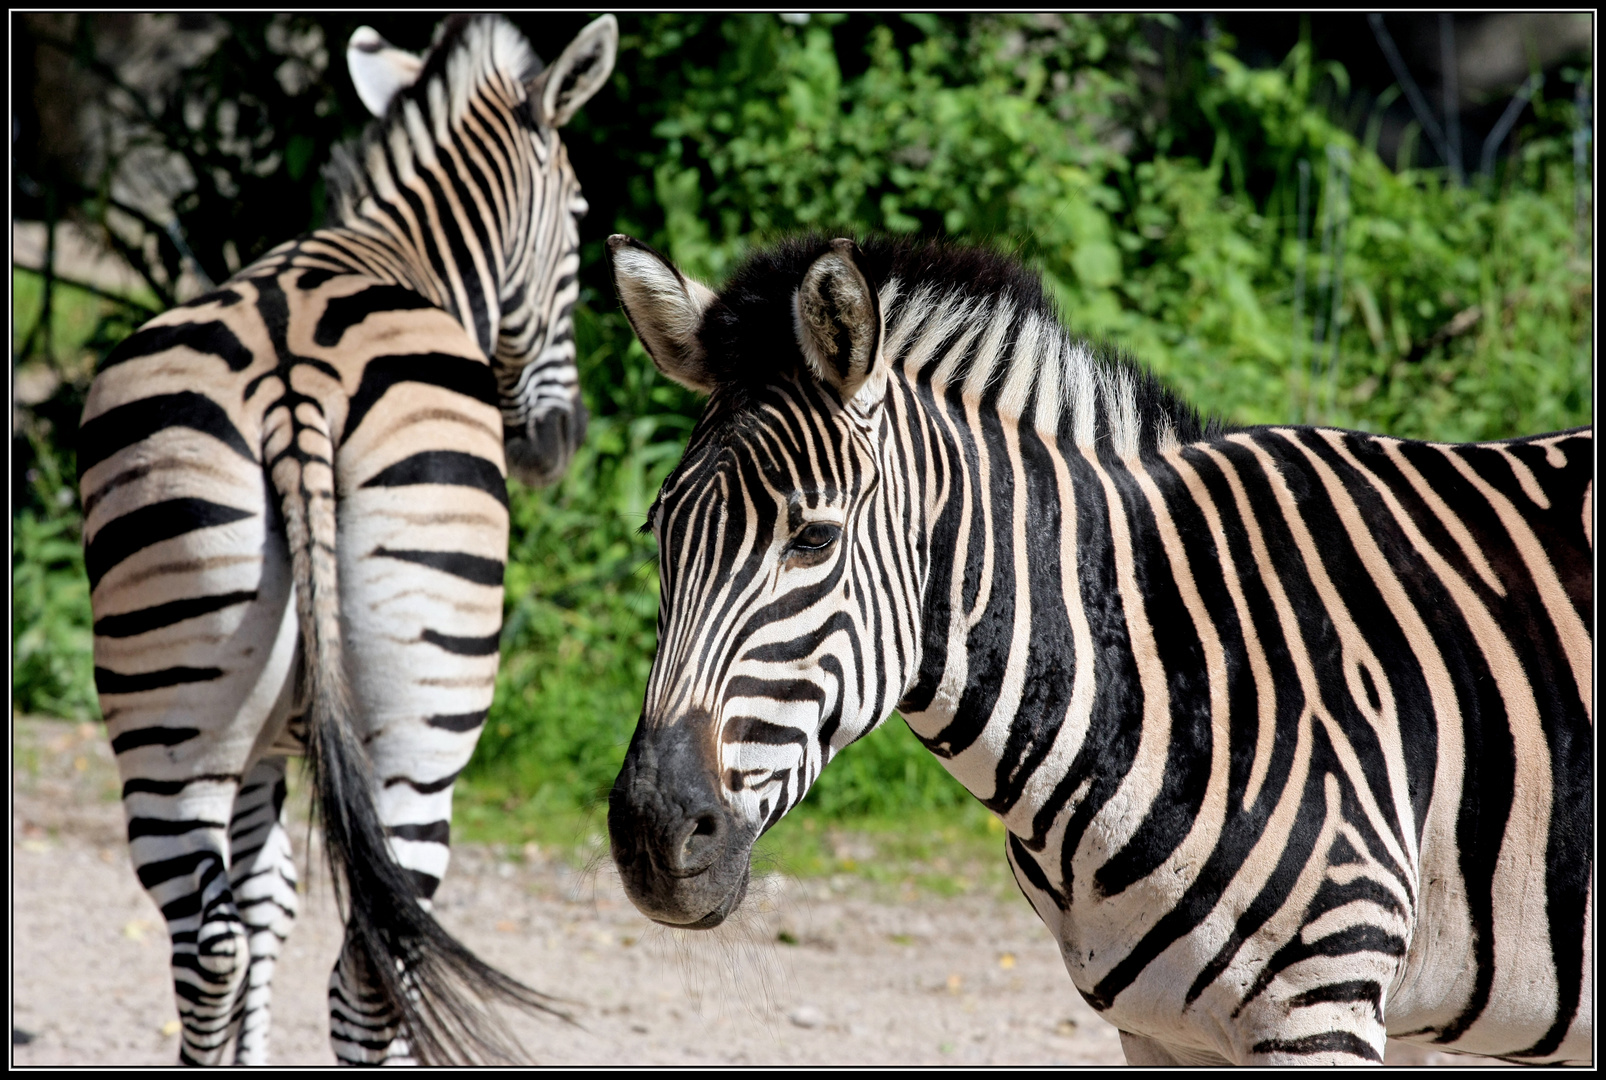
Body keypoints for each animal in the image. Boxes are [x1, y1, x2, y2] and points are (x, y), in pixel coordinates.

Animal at [79, 12, 619, 1067]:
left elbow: (264, 903)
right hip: (421, 727)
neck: (394, 250)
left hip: (171, 702)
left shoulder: (259, 748)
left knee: (208, 945)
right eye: (579, 218)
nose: (558, 443)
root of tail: (292, 382)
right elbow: (291, 909)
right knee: (376, 962)